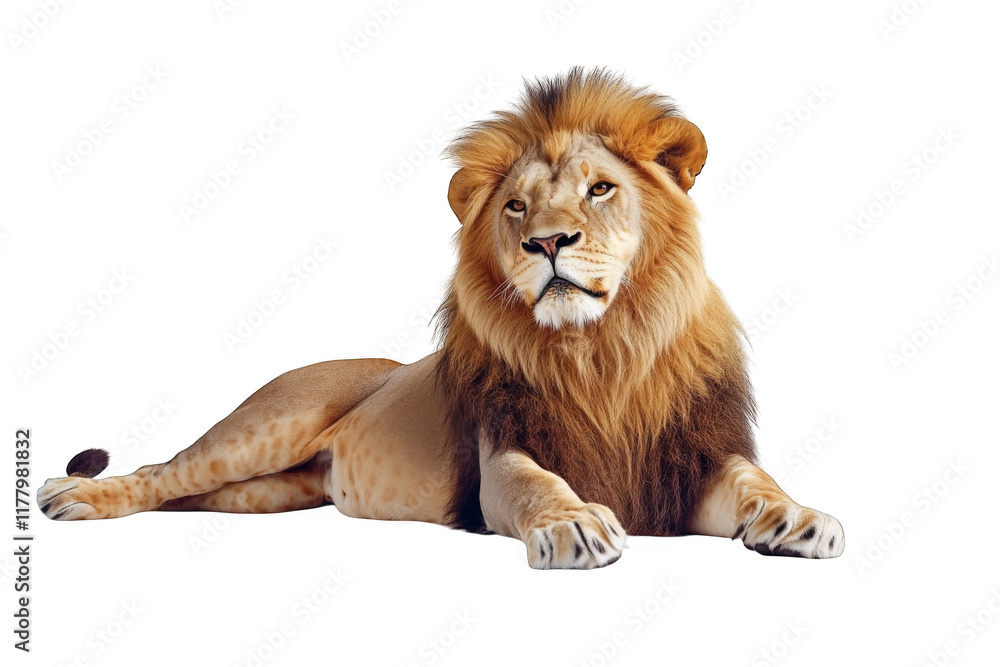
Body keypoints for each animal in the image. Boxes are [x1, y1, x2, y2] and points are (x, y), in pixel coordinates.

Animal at [38, 68, 844, 569]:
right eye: (516, 205)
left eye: (600, 189)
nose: (547, 241)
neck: (600, 351)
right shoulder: (504, 452)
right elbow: (536, 486)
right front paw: (573, 523)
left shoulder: (686, 460)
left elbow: (754, 478)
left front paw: (798, 516)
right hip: (266, 427)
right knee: (163, 470)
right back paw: (70, 495)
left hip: (269, 490)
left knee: (188, 494)